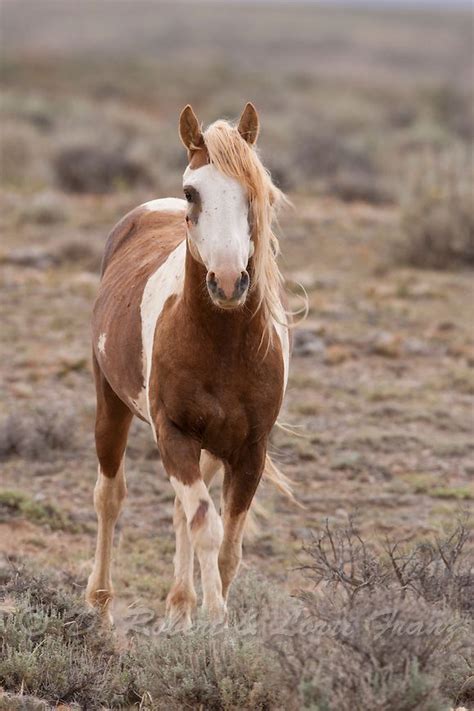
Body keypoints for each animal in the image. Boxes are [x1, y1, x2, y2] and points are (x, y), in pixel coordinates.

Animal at [86, 103, 292, 632]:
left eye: (254, 191)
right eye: (191, 192)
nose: (228, 280)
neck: (221, 348)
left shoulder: (249, 450)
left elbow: (227, 546)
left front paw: (206, 618)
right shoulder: (173, 433)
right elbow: (206, 526)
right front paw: (217, 622)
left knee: (180, 510)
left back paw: (179, 607)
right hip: (111, 403)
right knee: (109, 497)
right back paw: (100, 604)